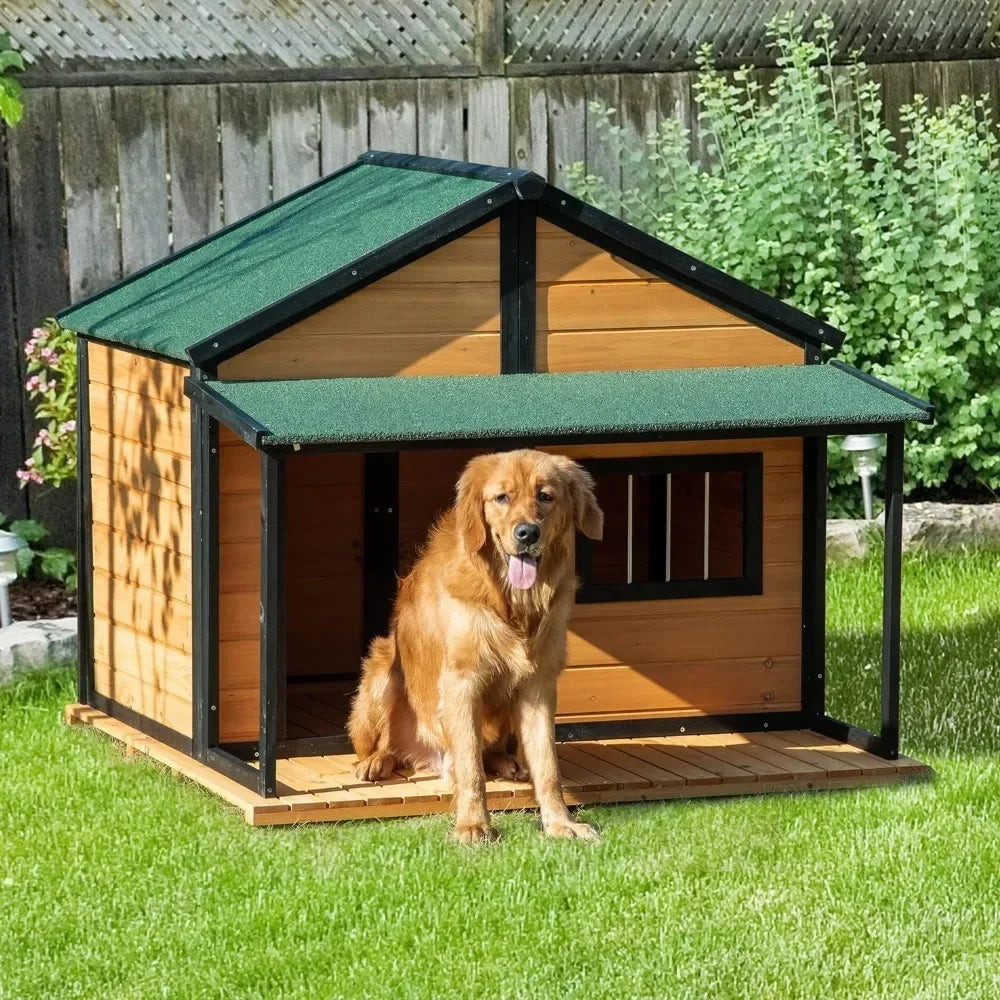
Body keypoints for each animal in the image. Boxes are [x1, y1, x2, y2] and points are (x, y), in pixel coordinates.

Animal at [348, 450, 604, 840]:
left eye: (545, 496)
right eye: (502, 498)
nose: (527, 532)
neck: (511, 602)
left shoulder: (539, 683)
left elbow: (548, 766)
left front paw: (560, 823)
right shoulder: (461, 680)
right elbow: (470, 768)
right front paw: (472, 825)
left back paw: (509, 763)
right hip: (382, 672)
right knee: (385, 744)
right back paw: (376, 761)